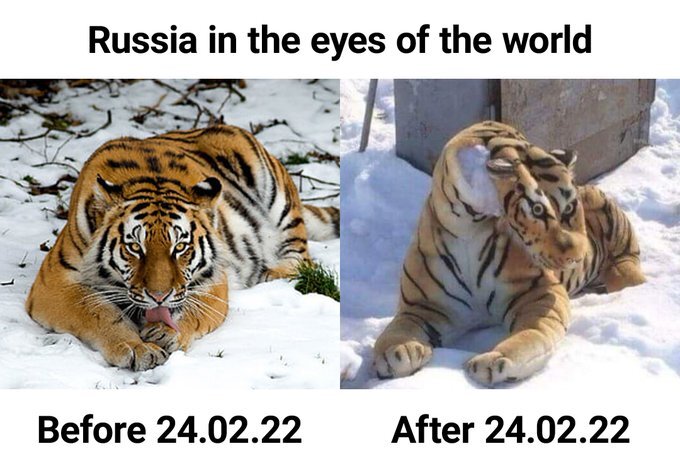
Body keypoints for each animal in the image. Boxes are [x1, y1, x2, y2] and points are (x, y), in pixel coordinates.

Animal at [25, 125, 340, 371]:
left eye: (180, 247)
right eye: (135, 247)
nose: (158, 296)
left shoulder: (215, 282)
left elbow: (192, 312)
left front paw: (166, 333)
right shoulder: (53, 284)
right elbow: (99, 312)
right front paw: (136, 347)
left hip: (276, 195)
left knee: (303, 259)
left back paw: (271, 274)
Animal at [373, 121, 645, 386]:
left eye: (568, 208)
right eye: (537, 209)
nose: (577, 257)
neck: (468, 226)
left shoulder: (540, 295)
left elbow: (531, 335)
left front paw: (494, 360)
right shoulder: (424, 306)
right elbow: (398, 329)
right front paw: (397, 352)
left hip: (619, 244)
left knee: (627, 265)